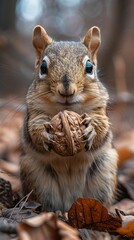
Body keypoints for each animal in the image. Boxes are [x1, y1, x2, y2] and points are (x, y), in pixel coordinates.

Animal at [20, 24, 118, 212]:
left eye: (89, 67)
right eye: (43, 67)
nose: (67, 90)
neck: (66, 110)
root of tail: (72, 201)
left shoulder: (99, 109)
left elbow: (101, 127)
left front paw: (90, 129)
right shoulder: (34, 112)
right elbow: (34, 129)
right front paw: (45, 134)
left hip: (104, 173)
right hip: (36, 175)